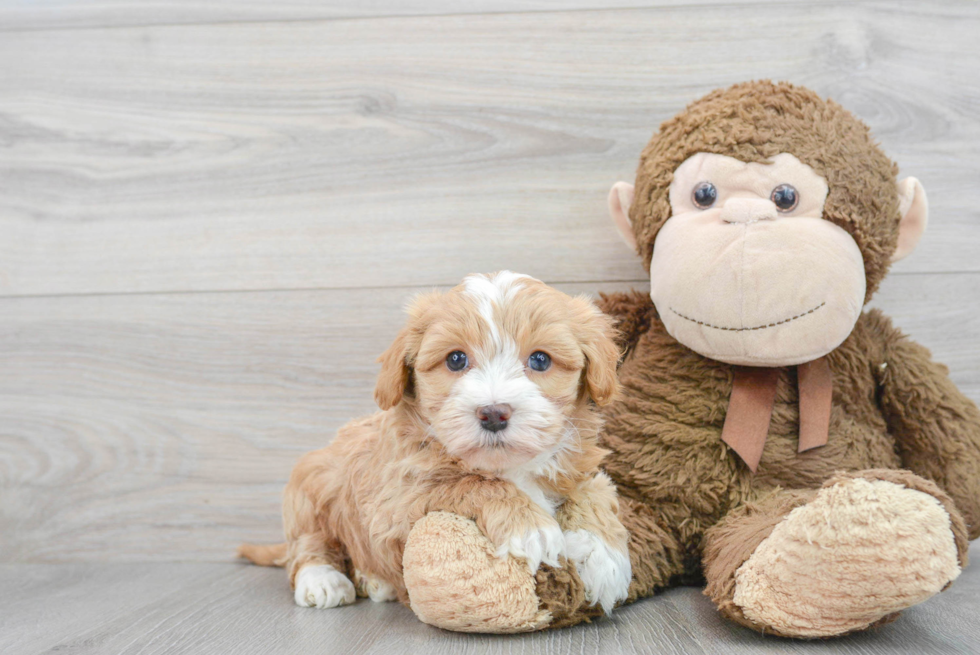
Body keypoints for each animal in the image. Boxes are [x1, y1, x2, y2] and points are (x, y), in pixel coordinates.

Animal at [241, 270, 632, 616]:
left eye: (540, 359)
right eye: (456, 359)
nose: (493, 413)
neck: (508, 466)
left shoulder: (580, 470)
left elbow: (594, 492)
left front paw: (604, 558)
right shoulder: (399, 501)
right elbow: (471, 482)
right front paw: (531, 527)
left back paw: (373, 581)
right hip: (309, 488)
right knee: (308, 546)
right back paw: (323, 580)